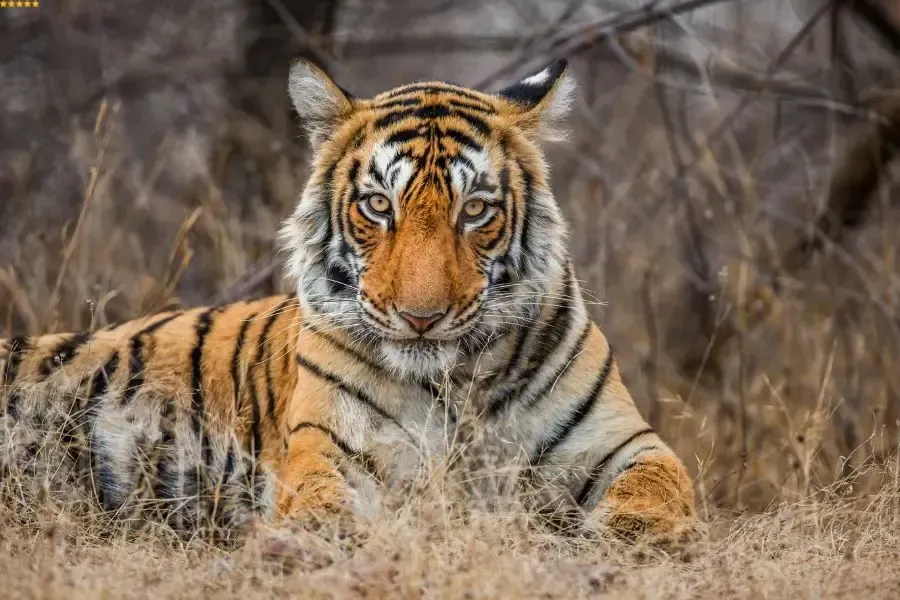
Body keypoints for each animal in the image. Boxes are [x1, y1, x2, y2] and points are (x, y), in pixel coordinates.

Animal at [0, 58, 700, 542]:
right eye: (378, 205)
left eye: (475, 210)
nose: (421, 318)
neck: (455, 385)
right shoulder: (331, 445)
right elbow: (320, 497)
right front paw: (313, 536)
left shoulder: (622, 441)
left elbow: (662, 481)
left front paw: (633, 535)